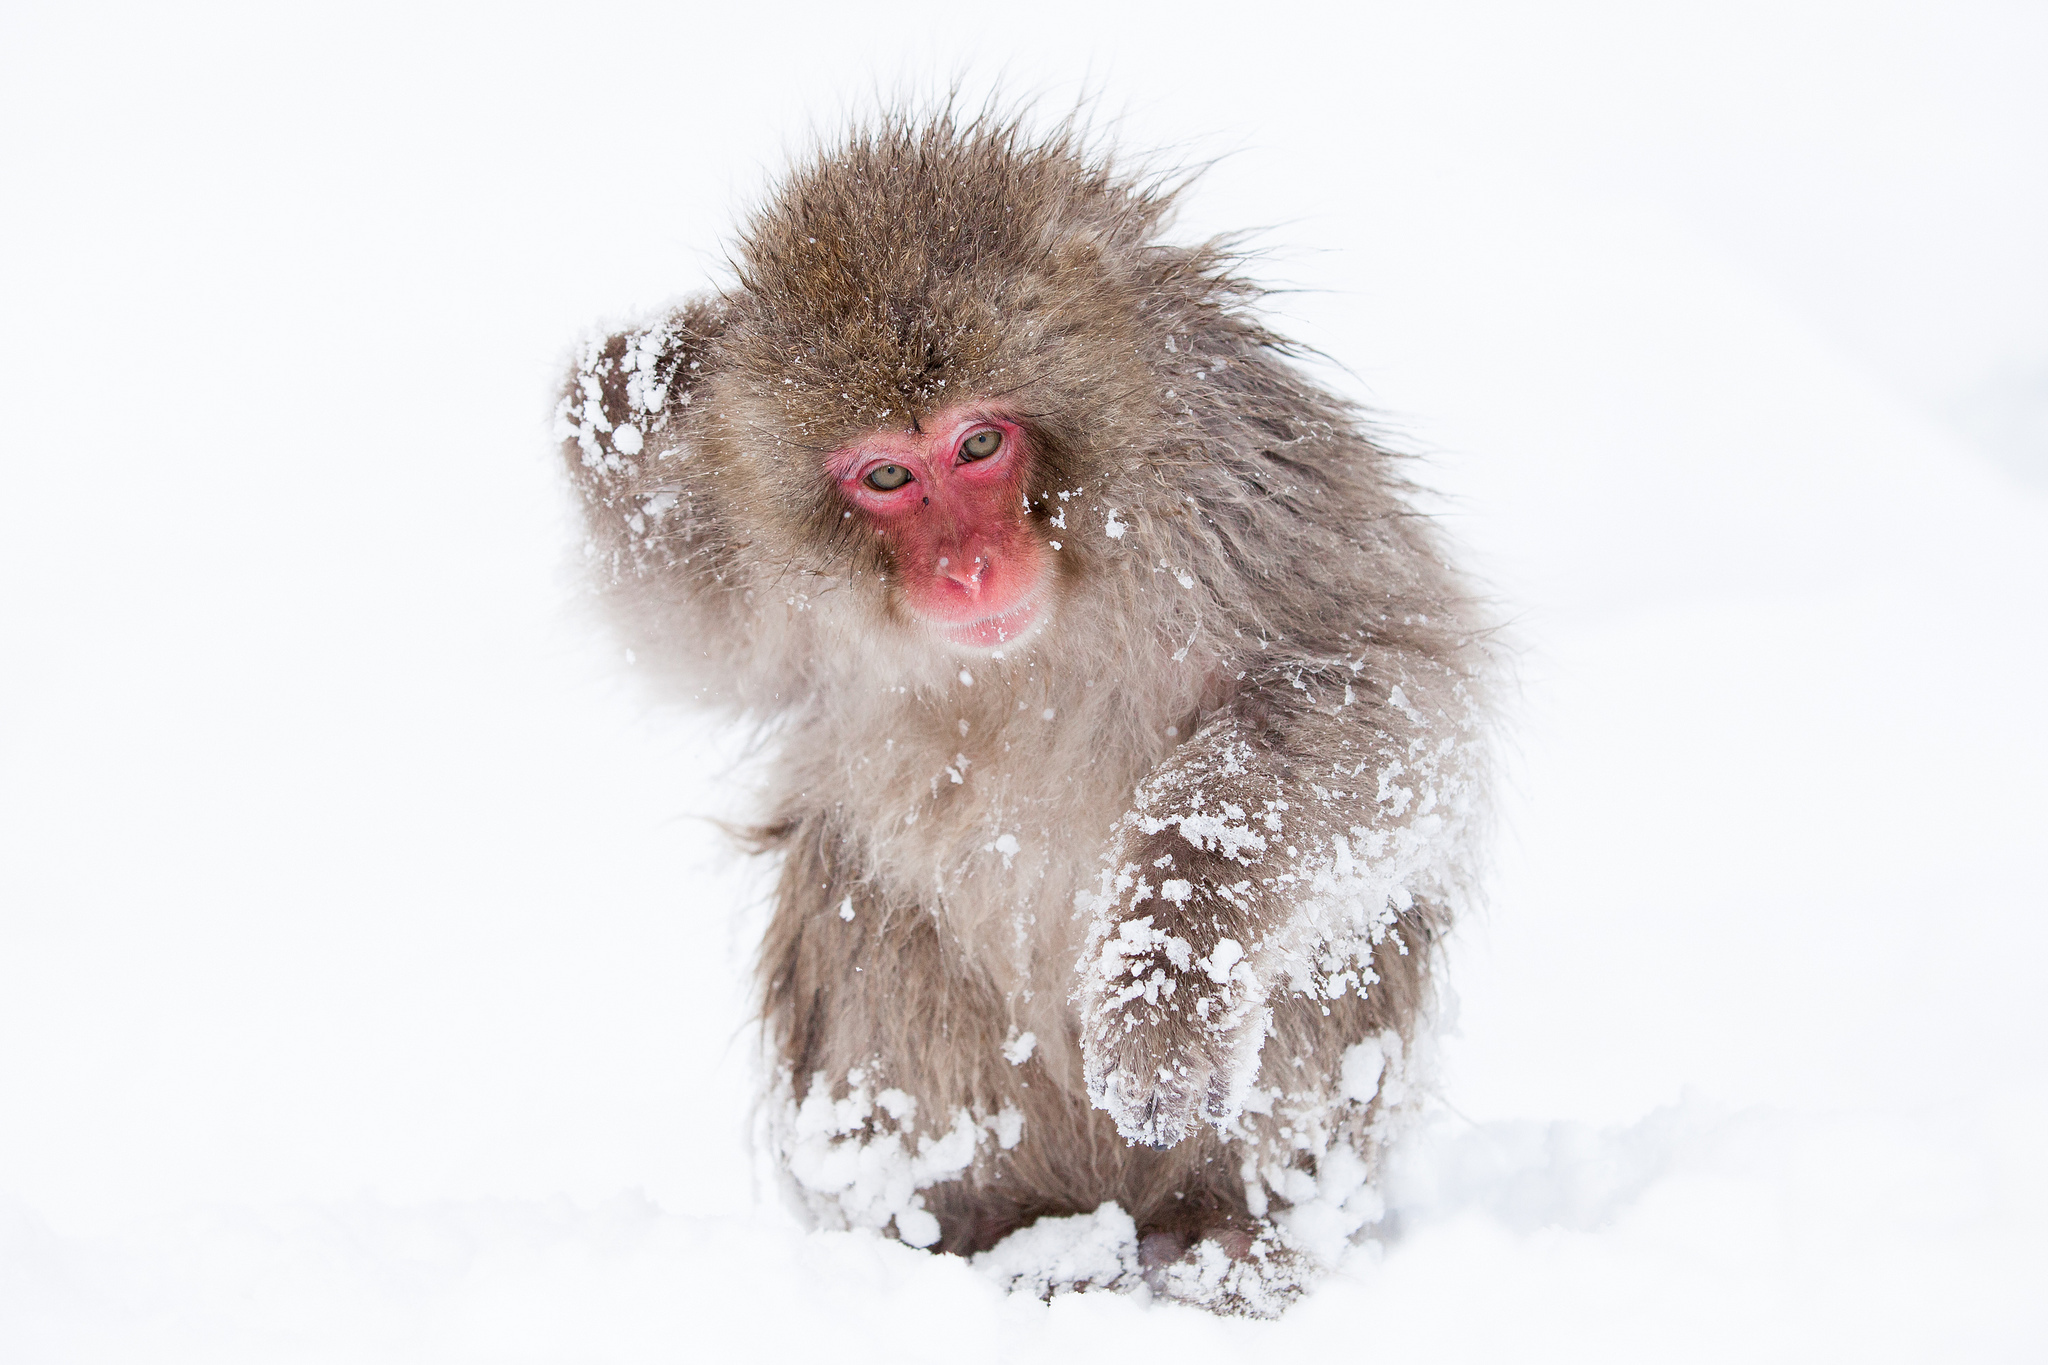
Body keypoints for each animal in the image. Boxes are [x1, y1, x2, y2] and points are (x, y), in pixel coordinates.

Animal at [555, 108, 1491, 1316]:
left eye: (979, 444)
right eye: (886, 477)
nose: (965, 569)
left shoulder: (1236, 487)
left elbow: (1386, 696)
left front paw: (1165, 972)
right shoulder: (758, 572)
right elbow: (682, 638)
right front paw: (625, 393)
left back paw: (1243, 1239)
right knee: (871, 918)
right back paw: (991, 1241)